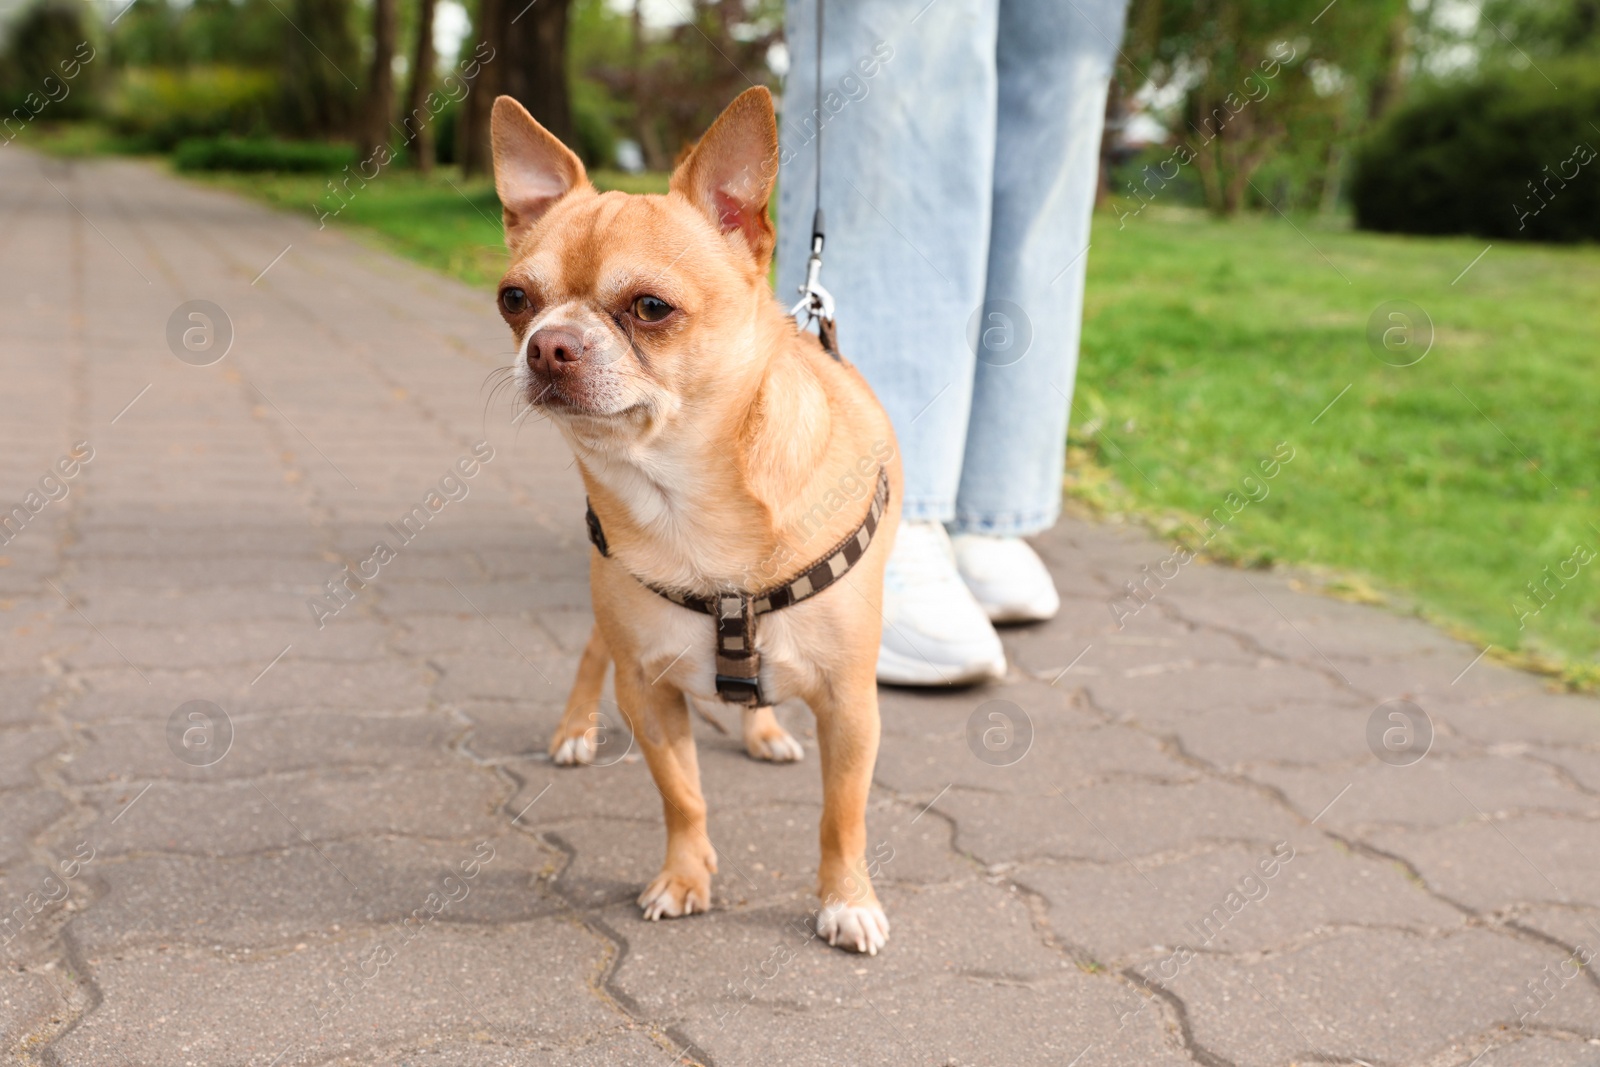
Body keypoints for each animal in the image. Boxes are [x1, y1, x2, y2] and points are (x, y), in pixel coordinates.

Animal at [492, 89, 902, 953]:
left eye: (651, 308)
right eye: (515, 300)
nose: (548, 345)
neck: (686, 499)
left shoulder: (852, 706)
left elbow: (841, 815)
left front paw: (847, 898)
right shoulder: (648, 692)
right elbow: (682, 795)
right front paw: (686, 876)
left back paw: (764, 730)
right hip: (607, 624)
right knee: (591, 655)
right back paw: (575, 728)